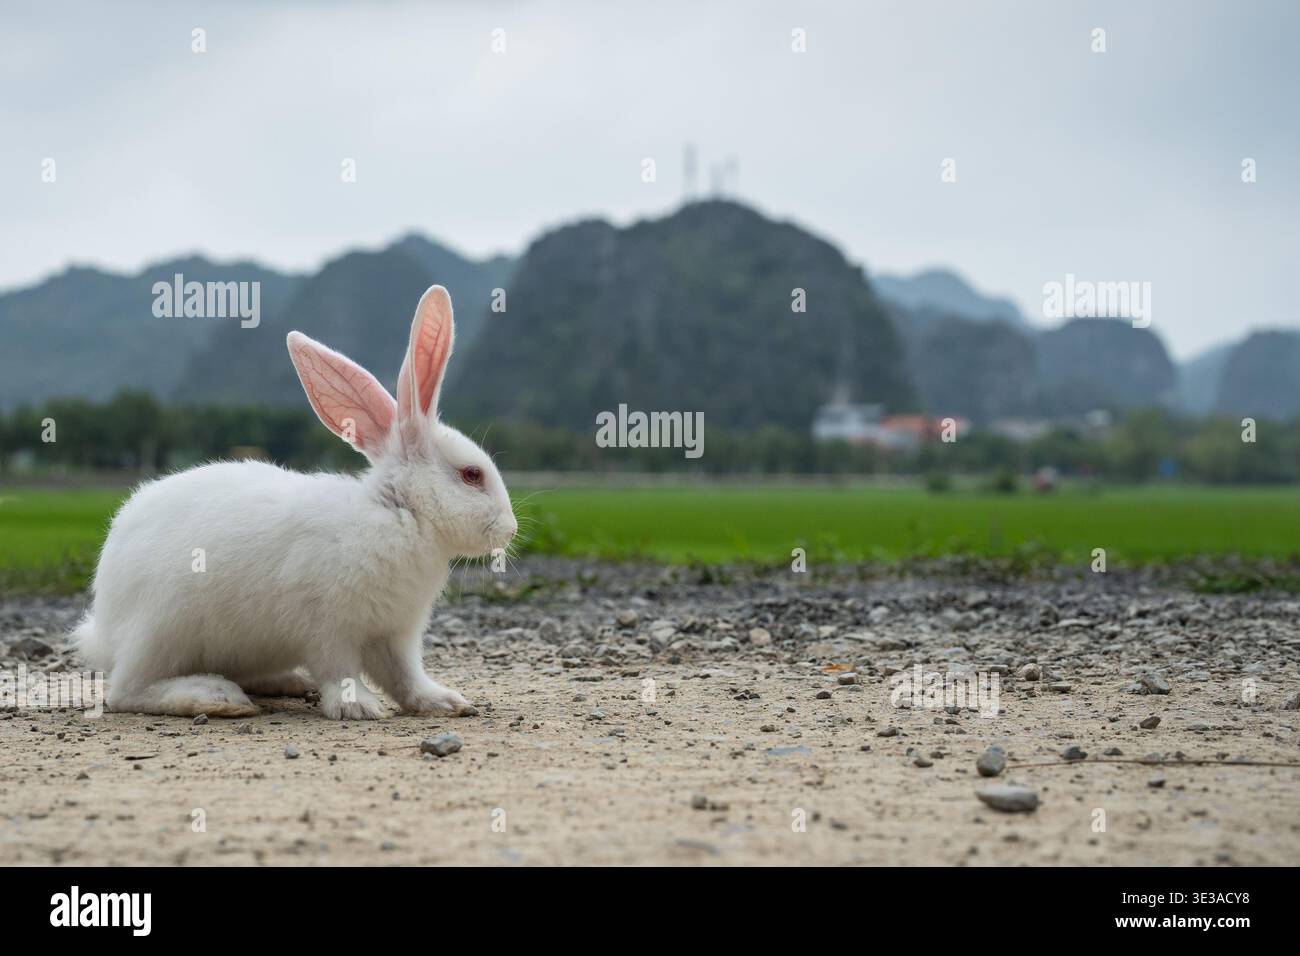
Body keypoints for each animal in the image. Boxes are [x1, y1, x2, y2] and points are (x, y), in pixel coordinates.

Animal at [72, 285, 517, 720]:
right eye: (472, 475)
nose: (510, 529)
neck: (399, 513)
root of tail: (105, 629)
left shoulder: (395, 633)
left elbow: (405, 676)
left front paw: (443, 701)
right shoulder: (328, 627)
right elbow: (340, 670)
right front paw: (358, 707)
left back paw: (286, 682)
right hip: (163, 630)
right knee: (127, 690)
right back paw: (216, 698)